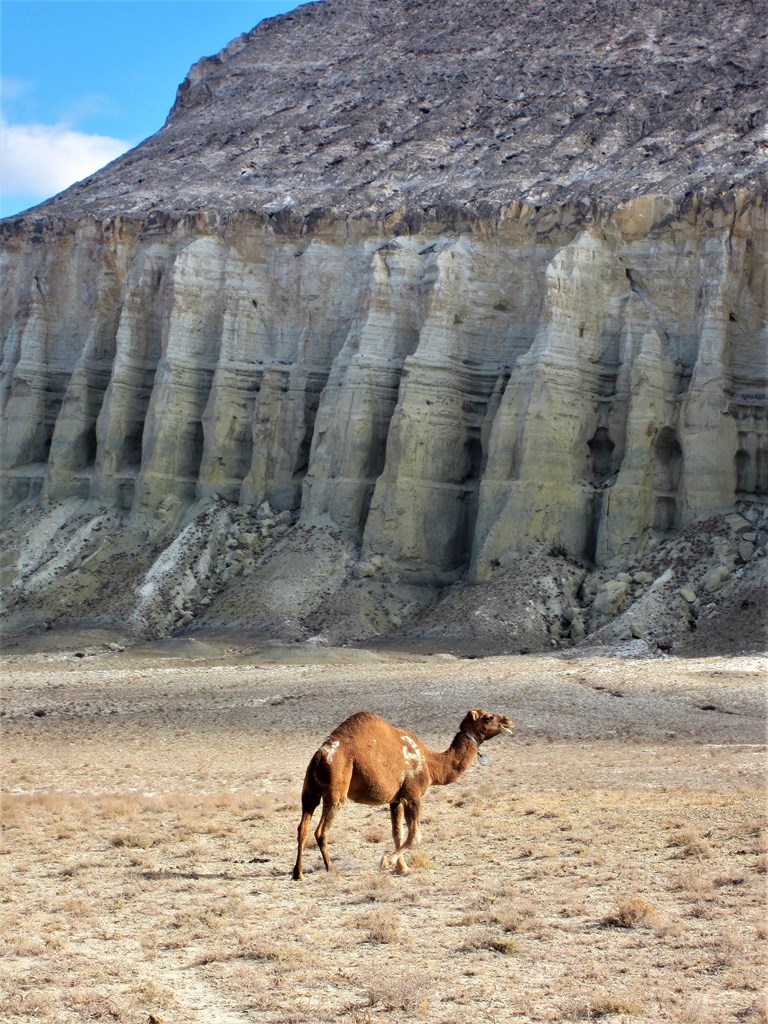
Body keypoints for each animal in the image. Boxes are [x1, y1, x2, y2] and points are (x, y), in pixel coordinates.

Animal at [294, 704, 518, 880]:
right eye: (488, 717)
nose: (509, 720)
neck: (431, 764)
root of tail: (320, 756)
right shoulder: (413, 795)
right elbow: (415, 835)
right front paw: (386, 862)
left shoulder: (395, 799)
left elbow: (397, 834)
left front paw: (402, 868)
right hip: (336, 791)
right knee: (321, 831)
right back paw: (331, 868)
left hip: (309, 792)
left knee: (302, 828)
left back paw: (298, 873)